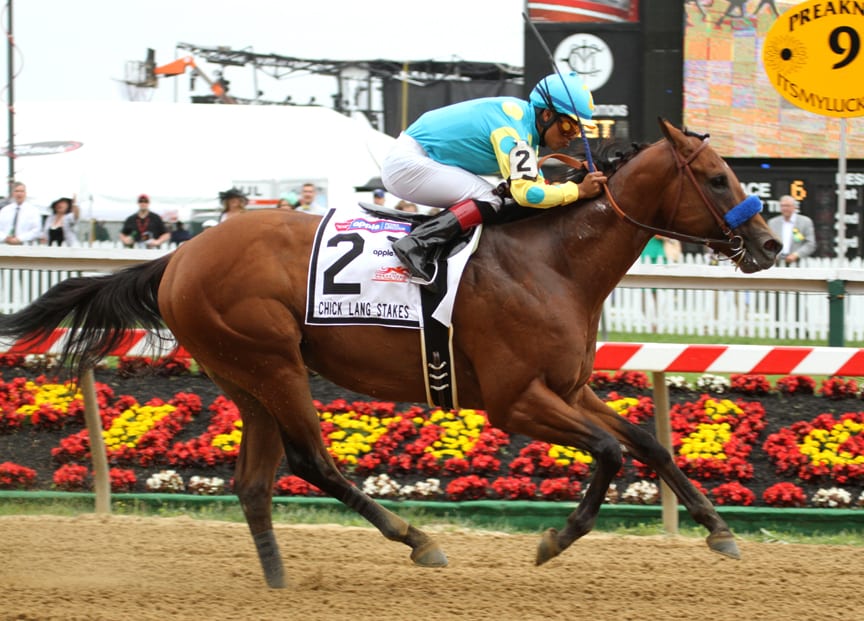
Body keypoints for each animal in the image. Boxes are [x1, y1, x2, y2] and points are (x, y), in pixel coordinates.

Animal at [0, 120, 784, 588]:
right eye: (718, 177)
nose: (773, 243)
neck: (554, 260)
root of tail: (181, 253)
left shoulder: (570, 387)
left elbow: (648, 443)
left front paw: (719, 531)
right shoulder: (516, 400)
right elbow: (612, 453)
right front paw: (554, 540)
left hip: (245, 374)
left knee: (253, 481)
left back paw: (278, 578)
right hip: (274, 364)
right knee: (311, 461)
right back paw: (417, 538)